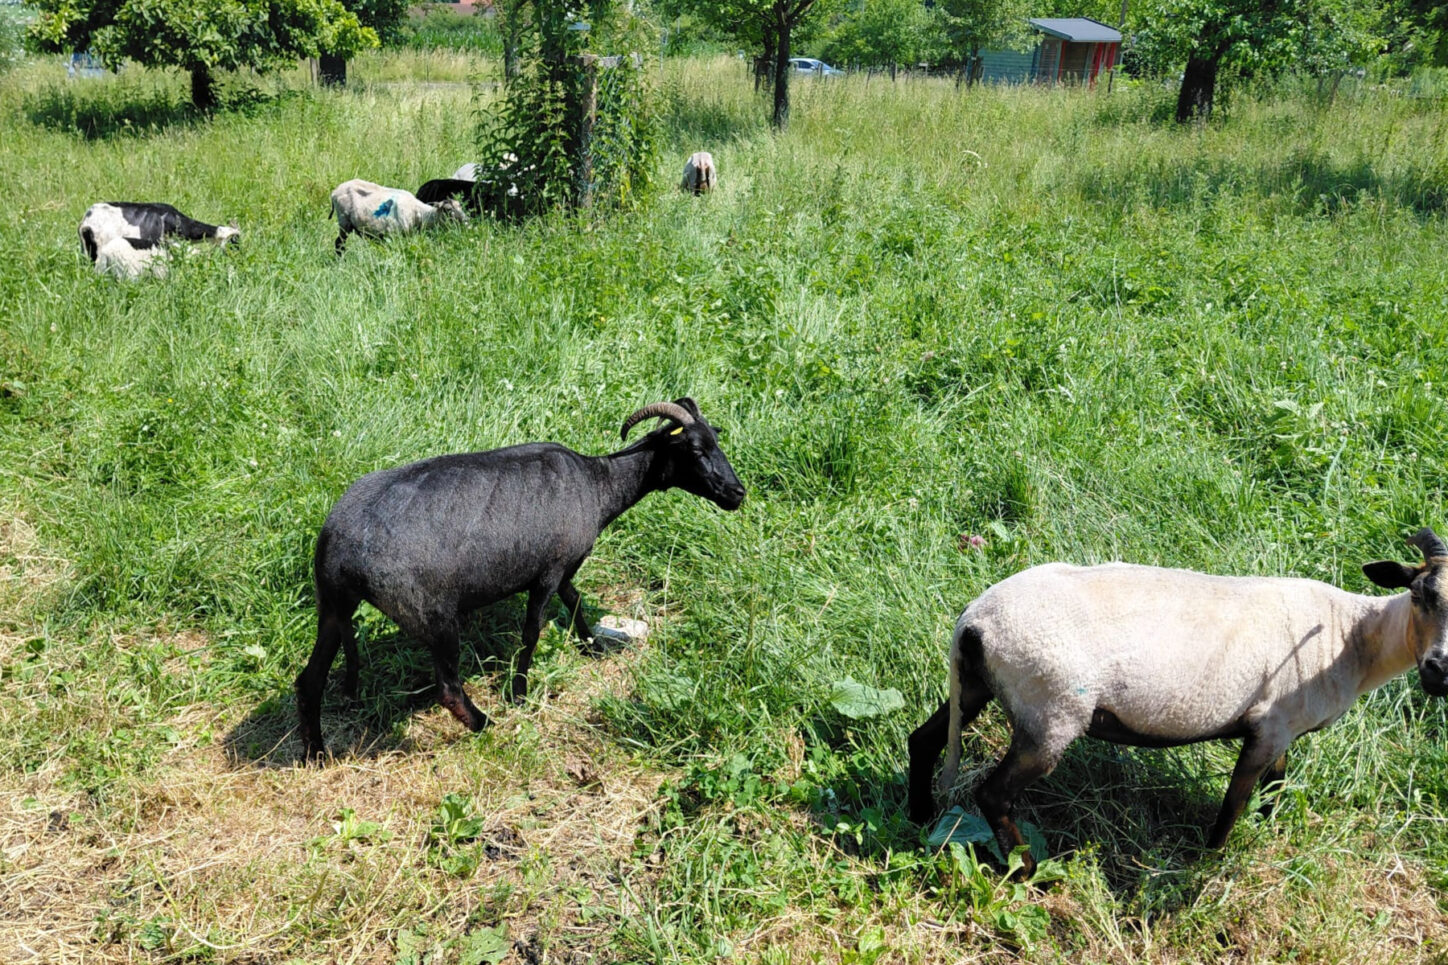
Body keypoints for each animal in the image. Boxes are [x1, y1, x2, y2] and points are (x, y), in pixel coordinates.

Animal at [295, 398, 746, 761]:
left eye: (717, 439)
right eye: (695, 449)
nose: (737, 493)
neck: (599, 483)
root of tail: (338, 545)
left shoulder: (565, 567)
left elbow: (576, 601)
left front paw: (593, 646)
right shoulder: (547, 571)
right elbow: (532, 631)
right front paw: (519, 692)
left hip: (332, 606)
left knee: (309, 681)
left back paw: (316, 752)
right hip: (431, 614)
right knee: (448, 688)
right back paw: (484, 724)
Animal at [328, 179, 469, 255]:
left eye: (460, 207)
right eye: (448, 210)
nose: (466, 222)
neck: (418, 214)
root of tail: (334, 192)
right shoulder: (393, 235)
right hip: (344, 221)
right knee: (339, 243)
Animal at [907, 529, 1448, 878]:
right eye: (1420, 593)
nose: (1439, 670)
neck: (1354, 635)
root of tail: (973, 620)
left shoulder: (1283, 729)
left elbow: (1275, 787)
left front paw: (1268, 832)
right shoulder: (1268, 727)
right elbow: (1234, 802)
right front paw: (1211, 862)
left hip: (978, 684)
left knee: (923, 740)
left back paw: (919, 817)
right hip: (1052, 711)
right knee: (994, 794)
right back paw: (1025, 870)